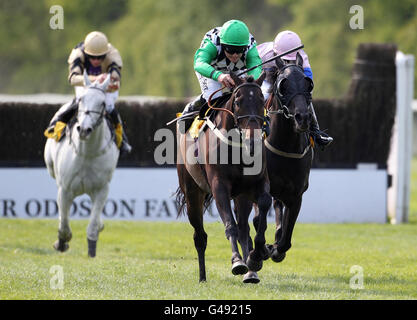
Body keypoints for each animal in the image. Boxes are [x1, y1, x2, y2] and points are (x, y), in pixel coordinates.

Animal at [175, 72, 270, 282]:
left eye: (262, 100)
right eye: (238, 101)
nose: (252, 141)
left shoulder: (256, 185)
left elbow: (264, 206)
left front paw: (256, 257)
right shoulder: (219, 187)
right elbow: (229, 225)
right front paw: (237, 261)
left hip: (241, 197)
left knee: (244, 229)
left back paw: (251, 273)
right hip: (192, 193)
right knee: (200, 237)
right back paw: (202, 277)